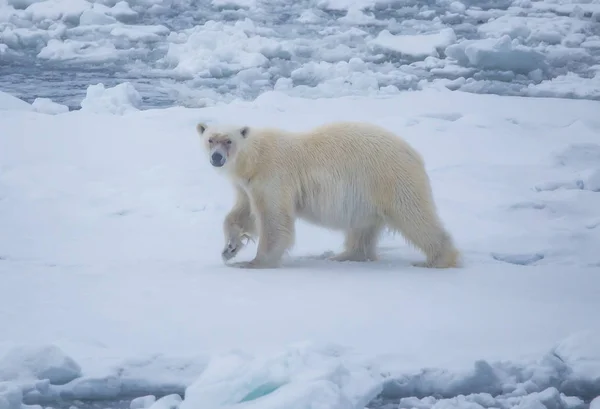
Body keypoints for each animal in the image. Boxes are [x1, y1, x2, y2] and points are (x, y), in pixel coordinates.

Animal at [197, 119, 460, 270]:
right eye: (210, 139)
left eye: (228, 141)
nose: (216, 158)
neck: (254, 159)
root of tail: (413, 153)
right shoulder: (247, 184)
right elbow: (242, 213)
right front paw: (229, 249)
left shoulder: (273, 176)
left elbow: (274, 220)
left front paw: (253, 263)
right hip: (367, 192)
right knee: (362, 227)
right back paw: (344, 255)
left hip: (389, 179)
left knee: (415, 216)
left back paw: (437, 260)